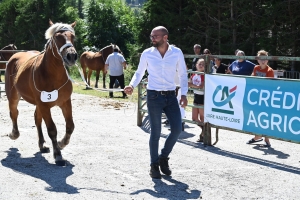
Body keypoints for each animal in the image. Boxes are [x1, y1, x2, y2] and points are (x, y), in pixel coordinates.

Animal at [4, 19, 77, 166]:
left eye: (73, 37)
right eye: (57, 37)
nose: (71, 56)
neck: (53, 75)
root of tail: (14, 56)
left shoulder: (65, 102)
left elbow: (70, 126)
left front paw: (61, 143)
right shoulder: (44, 106)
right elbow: (52, 129)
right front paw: (58, 155)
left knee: (37, 119)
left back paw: (42, 145)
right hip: (13, 96)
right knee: (14, 113)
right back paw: (14, 134)